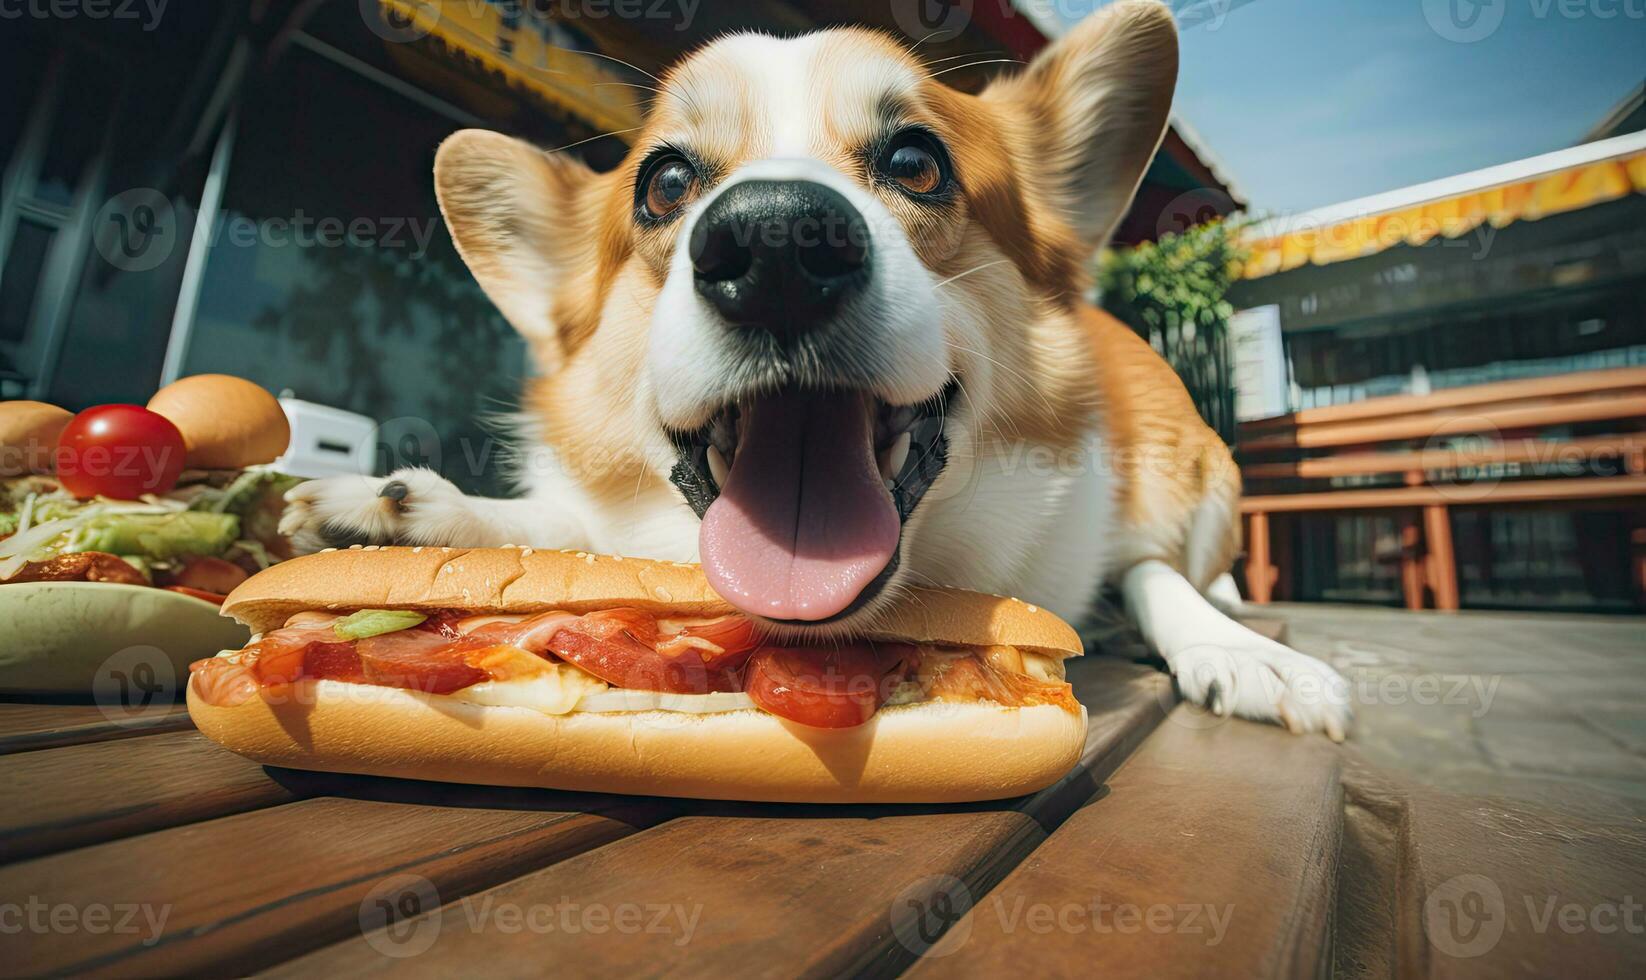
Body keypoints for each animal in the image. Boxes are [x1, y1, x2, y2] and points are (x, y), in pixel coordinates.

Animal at [283, 0, 1349, 737]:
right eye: (666, 183)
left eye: (917, 162)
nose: (776, 249)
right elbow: (564, 533)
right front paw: (401, 508)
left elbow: (1150, 577)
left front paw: (1240, 654)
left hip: (1204, 471)